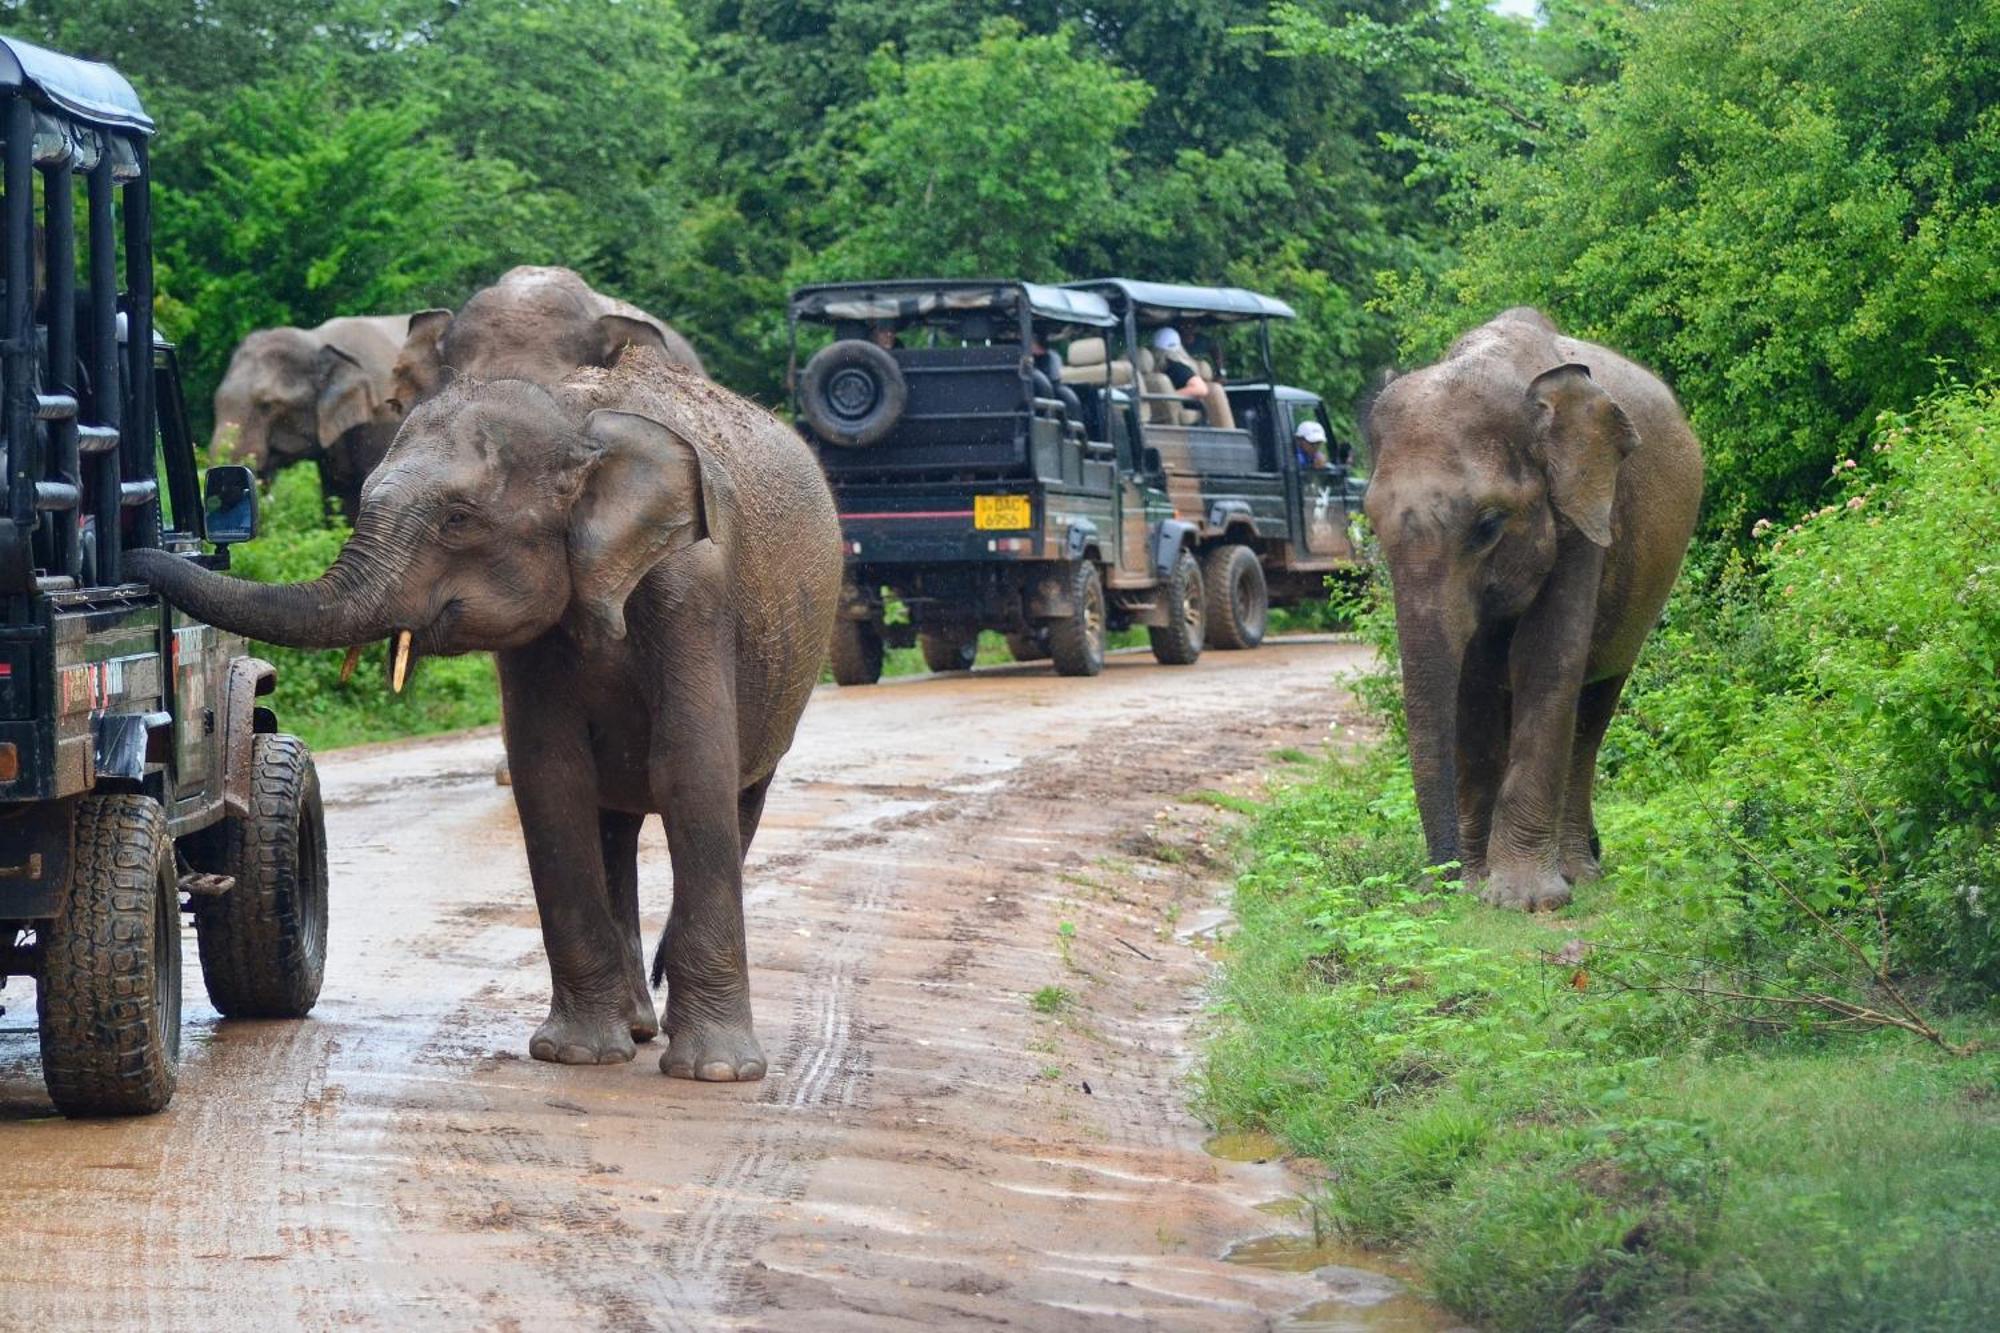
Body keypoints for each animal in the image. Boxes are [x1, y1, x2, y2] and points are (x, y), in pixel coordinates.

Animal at [127, 348, 836, 1072]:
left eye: (458, 519)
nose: (133, 553)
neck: (575, 420)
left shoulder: (693, 593)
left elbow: (689, 771)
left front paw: (715, 1072)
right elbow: (551, 776)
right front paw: (573, 1056)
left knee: (739, 795)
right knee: (613, 819)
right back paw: (634, 1031)